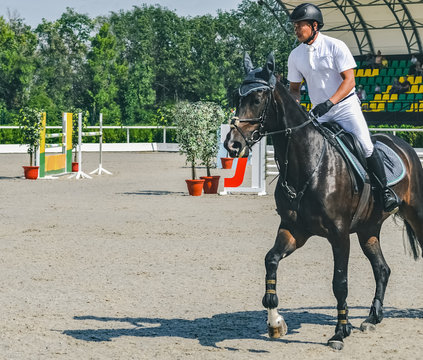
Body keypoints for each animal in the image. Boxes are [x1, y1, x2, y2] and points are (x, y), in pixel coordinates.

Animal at [225, 52, 423, 350]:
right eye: (239, 97)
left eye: (258, 99)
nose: (232, 144)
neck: (308, 165)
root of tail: (403, 145)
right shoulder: (294, 230)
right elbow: (271, 261)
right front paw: (275, 323)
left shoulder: (339, 234)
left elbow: (339, 282)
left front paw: (340, 333)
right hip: (368, 228)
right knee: (382, 269)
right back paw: (372, 318)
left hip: (415, 214)